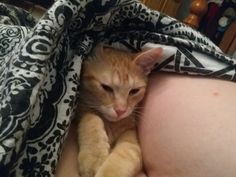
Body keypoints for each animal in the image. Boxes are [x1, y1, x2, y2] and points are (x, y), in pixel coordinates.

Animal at [76, 44, 163, 177]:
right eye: (106, 87)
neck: (112, 124)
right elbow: (91, 118)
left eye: (134, 91)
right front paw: (94, 158)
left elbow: (128, 152)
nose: (121, 110)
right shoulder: (82, 109)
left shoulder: (131, 137)